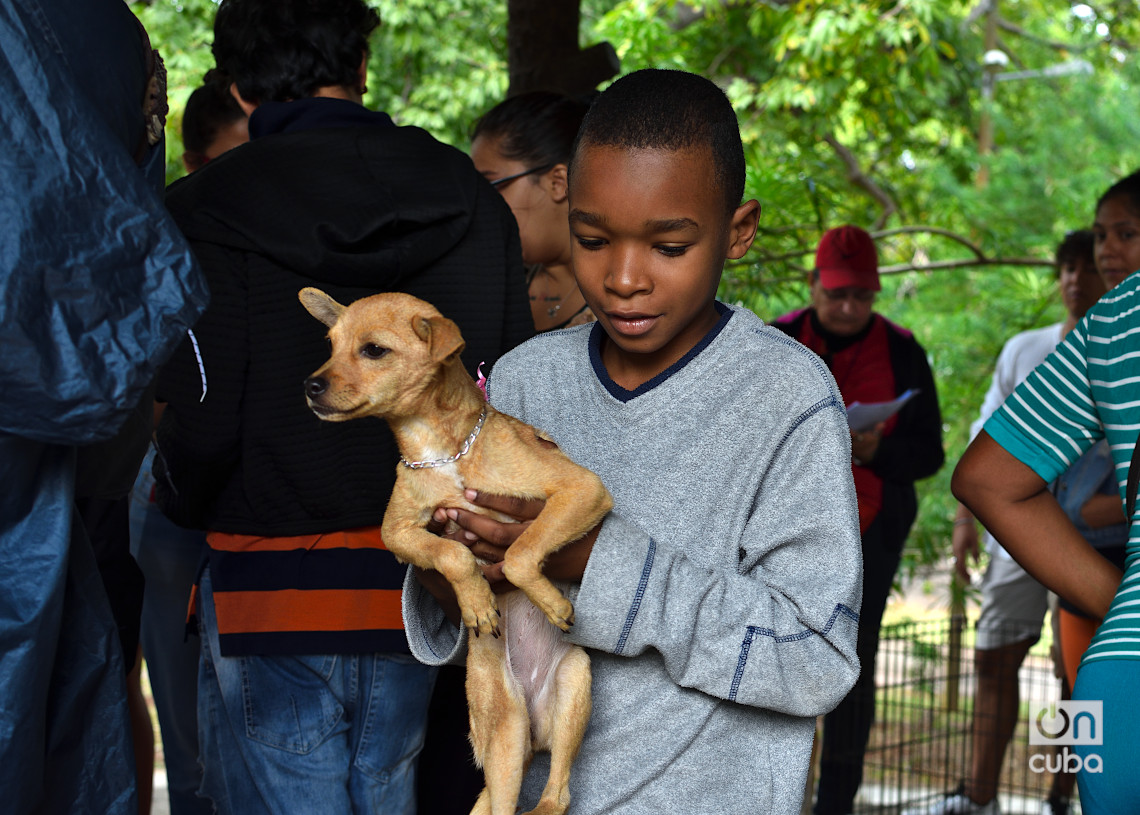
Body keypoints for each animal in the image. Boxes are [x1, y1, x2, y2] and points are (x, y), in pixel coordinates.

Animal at [298, 288, 611, 815]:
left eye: (374, 350)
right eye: (331, 345)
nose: (310, 385)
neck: (443, 451)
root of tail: (533, 727)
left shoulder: (581, 489)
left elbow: (521, 552)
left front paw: (550, 601)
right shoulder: (399, 532)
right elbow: (453, 555)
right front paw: (478, 602)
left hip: (574, 682)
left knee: (559, 794)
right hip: (504, 739)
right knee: (511, 801)